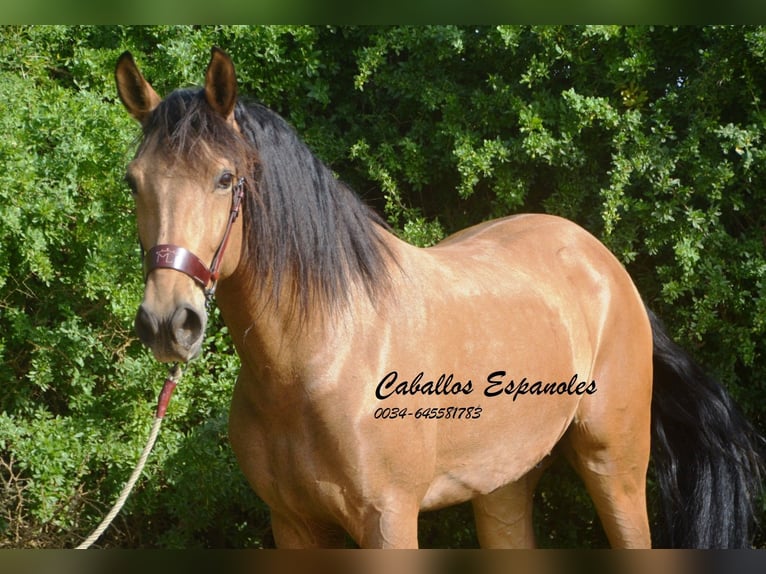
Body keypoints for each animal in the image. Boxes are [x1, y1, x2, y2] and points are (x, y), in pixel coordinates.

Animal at [112, 48, 760, 548]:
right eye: (133, 181)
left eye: (225, 179)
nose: (168, 322)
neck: (319, 357)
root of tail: (605, 266)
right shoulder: (292, 525)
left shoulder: (389, 522)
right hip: (503, 485)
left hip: (615, 468)